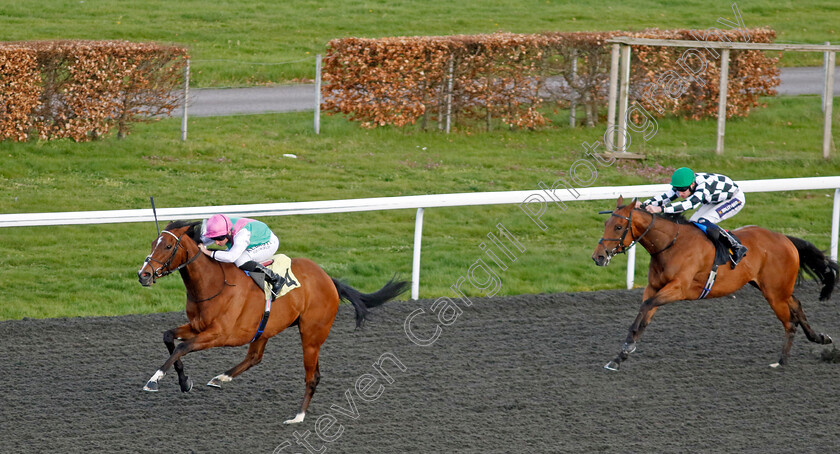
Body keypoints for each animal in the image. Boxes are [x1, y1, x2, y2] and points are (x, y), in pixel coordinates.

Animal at [592, 195, 836, 368]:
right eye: (605, 223)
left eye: (618, 227)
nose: (598, 257)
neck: (671, 244)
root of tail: (785, 238)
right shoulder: (654, 287)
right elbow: (644, 314)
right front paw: (621, 355)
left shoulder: (678, 289)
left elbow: (646, 306)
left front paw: (627, 348)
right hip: (775, 288)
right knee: (797, 306)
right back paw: (820, 339)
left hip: (775, 293)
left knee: (789, 322)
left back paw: (782, 361)